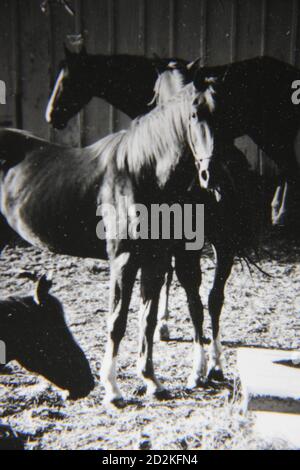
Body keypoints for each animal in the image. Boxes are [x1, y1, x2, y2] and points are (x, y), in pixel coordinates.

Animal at [0, 84, 258, 404]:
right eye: (194, 114)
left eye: (229, 116)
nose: (216, 176)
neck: (140, 173)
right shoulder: (124, 261)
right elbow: (118, 320)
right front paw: (112, 388)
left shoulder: (156, 260)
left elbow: (147, 318)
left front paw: (151, 381)